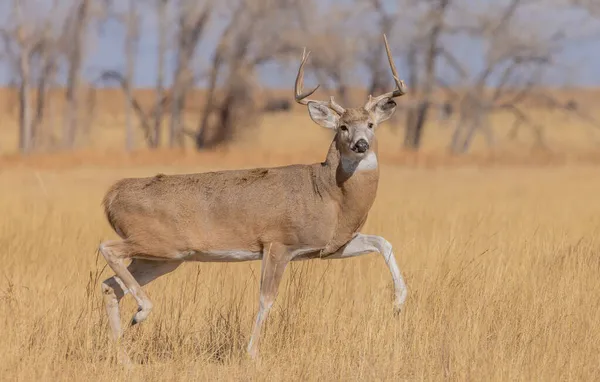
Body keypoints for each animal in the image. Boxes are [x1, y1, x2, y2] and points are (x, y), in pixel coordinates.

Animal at [99, 34, 408, 362]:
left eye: (371, 124)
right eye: (343, 127)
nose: (361, 144)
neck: (330, 194)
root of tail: (112, 195)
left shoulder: (328, 247)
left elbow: (382, 242)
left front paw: (399, 303)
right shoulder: (278, 243)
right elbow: (266, 299)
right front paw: (252, 354)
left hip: (164, 258)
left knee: (109, 286)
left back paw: (125, 358)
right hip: (161, 243)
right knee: (108, 249)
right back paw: (141, 313)